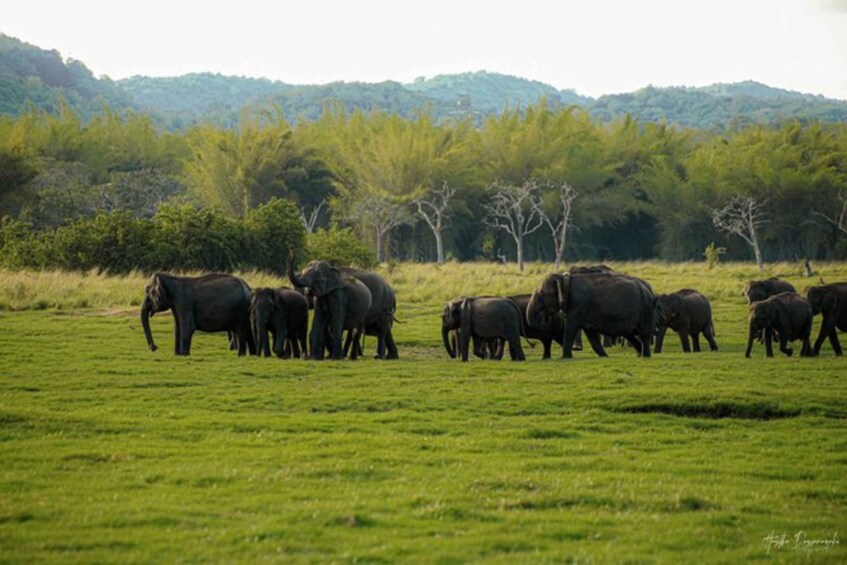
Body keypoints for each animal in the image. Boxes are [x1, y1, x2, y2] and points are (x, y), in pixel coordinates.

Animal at [527, 271, 655, 358]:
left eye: (542, 294)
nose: (545, 316)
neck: (565, 278)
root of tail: (649, 289)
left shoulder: (578, 305)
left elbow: (570, 328)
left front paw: (565, 358)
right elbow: (591, 335)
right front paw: (604, 356)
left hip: (646, 310)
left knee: (644, 334)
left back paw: (645, 356)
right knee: (630, 334)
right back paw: (639, 354)